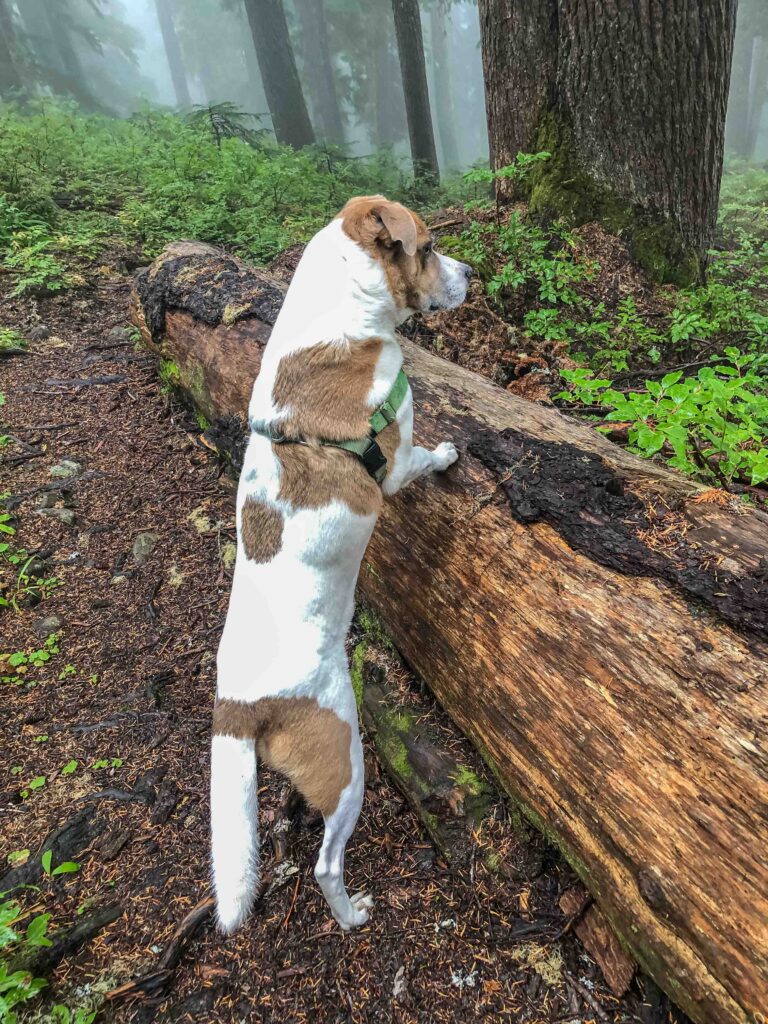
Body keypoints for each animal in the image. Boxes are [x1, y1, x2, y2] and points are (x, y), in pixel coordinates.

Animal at [211, 195, 475, 933]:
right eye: (431, 247)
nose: (471, 275)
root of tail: (236, 707)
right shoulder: (397, 458)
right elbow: (423, 457)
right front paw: (450, 455)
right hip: (345, 761)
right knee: (327, 863)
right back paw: (351, 912)